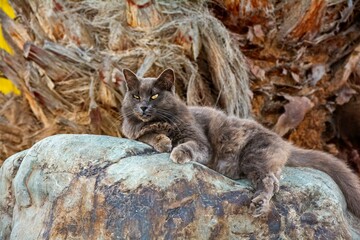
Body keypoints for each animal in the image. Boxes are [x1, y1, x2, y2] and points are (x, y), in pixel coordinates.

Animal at [121, 68, 360, 218]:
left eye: (154, 96)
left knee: (270, 182)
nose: (143, 106)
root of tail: (283, 141)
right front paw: (162, 141)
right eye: (135, 96)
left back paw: (259, 204)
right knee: (275, 181)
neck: (161, 121)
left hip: (254, 156)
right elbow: (145, 134)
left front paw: (177, 152)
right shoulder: (131, 131)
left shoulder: (200, 141)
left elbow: (190, 145)